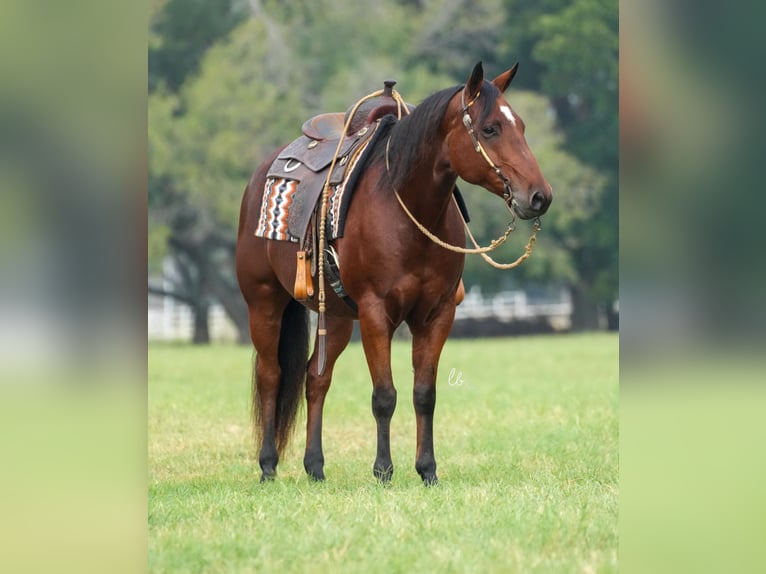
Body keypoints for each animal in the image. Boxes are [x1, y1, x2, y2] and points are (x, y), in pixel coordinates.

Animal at [234, 63, 552, 486]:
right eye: (490, 129)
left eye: (522, 126)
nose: (540, 196)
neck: (406, 208)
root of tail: (260, 177)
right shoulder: (375, 313)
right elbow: (384, 395)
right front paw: (383, 470)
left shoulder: (437, 314)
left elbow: (424, 394)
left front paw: (427, 469)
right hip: (265, 302)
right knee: (272, 376)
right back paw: (268, 465)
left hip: (335, 315)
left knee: (315, 379)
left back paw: (315, 466)